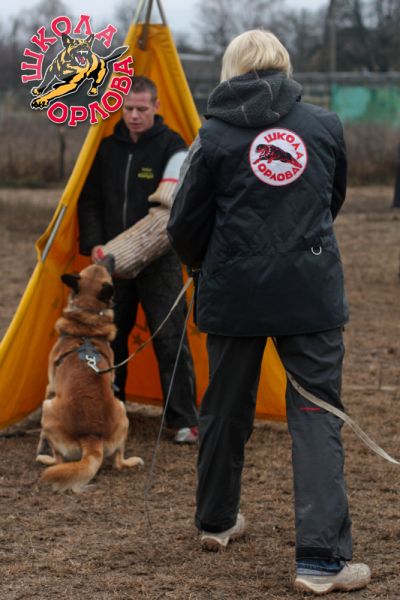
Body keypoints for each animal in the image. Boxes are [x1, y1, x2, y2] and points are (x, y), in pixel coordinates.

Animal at [36, 258, 143, 492]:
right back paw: (132, 461)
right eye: (98, 263)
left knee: (59, 459)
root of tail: (91, 437)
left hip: (48, 408)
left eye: (104, 266)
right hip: (121, 408)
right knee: (119, 461)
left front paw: (41, 448)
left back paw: (45, 459)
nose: (109, 255)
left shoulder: (49, 387)